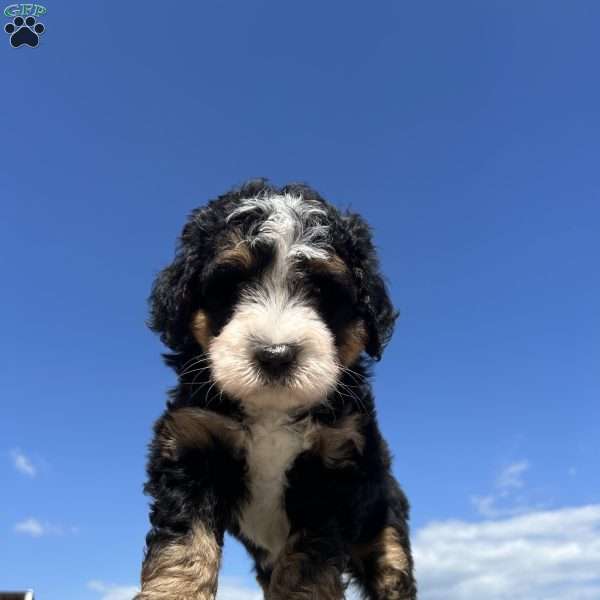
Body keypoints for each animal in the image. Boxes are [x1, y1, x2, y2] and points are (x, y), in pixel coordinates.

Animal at [137, 182, 418, 600]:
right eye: (231, 285)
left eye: (322, 290)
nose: (275, 354)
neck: (270, 410)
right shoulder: (192, 445)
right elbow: (183, 543)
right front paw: (173, 591)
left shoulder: (334, 461)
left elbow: (307, 561)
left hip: (382, 519)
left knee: (392, 570)